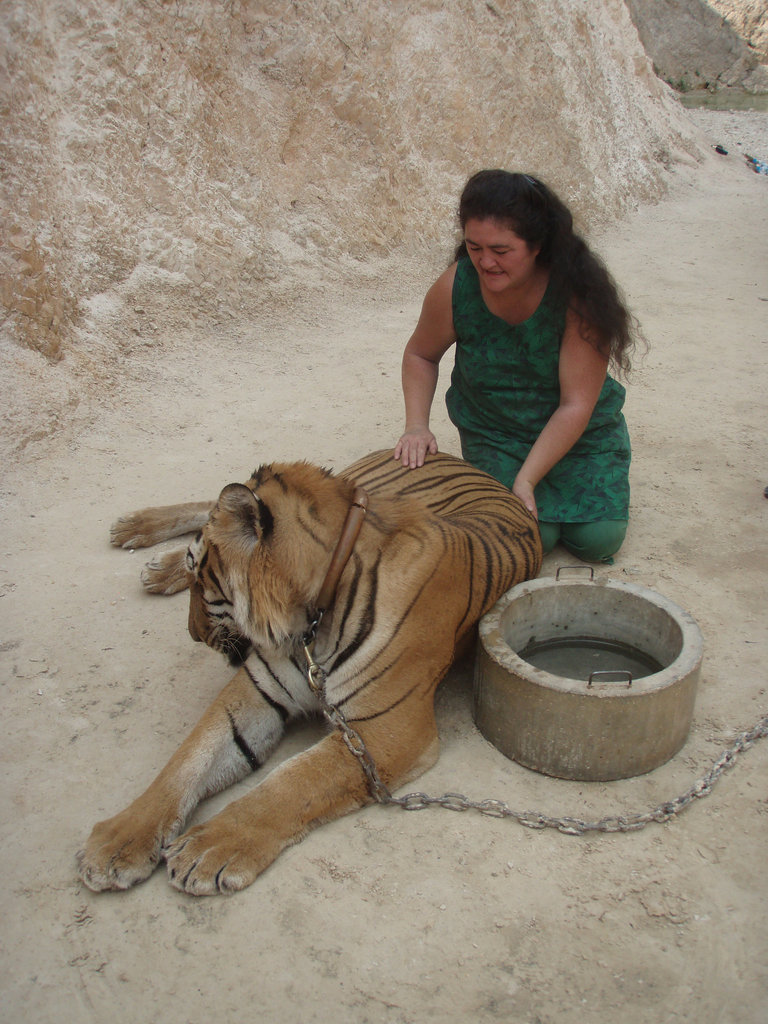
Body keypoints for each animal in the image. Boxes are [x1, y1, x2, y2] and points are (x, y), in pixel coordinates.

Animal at [78, 452, 540, 892]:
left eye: (200, 578)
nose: (193, 634)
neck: (312, 616)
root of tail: (472, 466)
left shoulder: (386, 730)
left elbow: (293, 781)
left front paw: (207, 849)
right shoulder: (258, 688)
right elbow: (189, 758)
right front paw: (117, 843)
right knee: (204, 503)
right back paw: (139, 537)